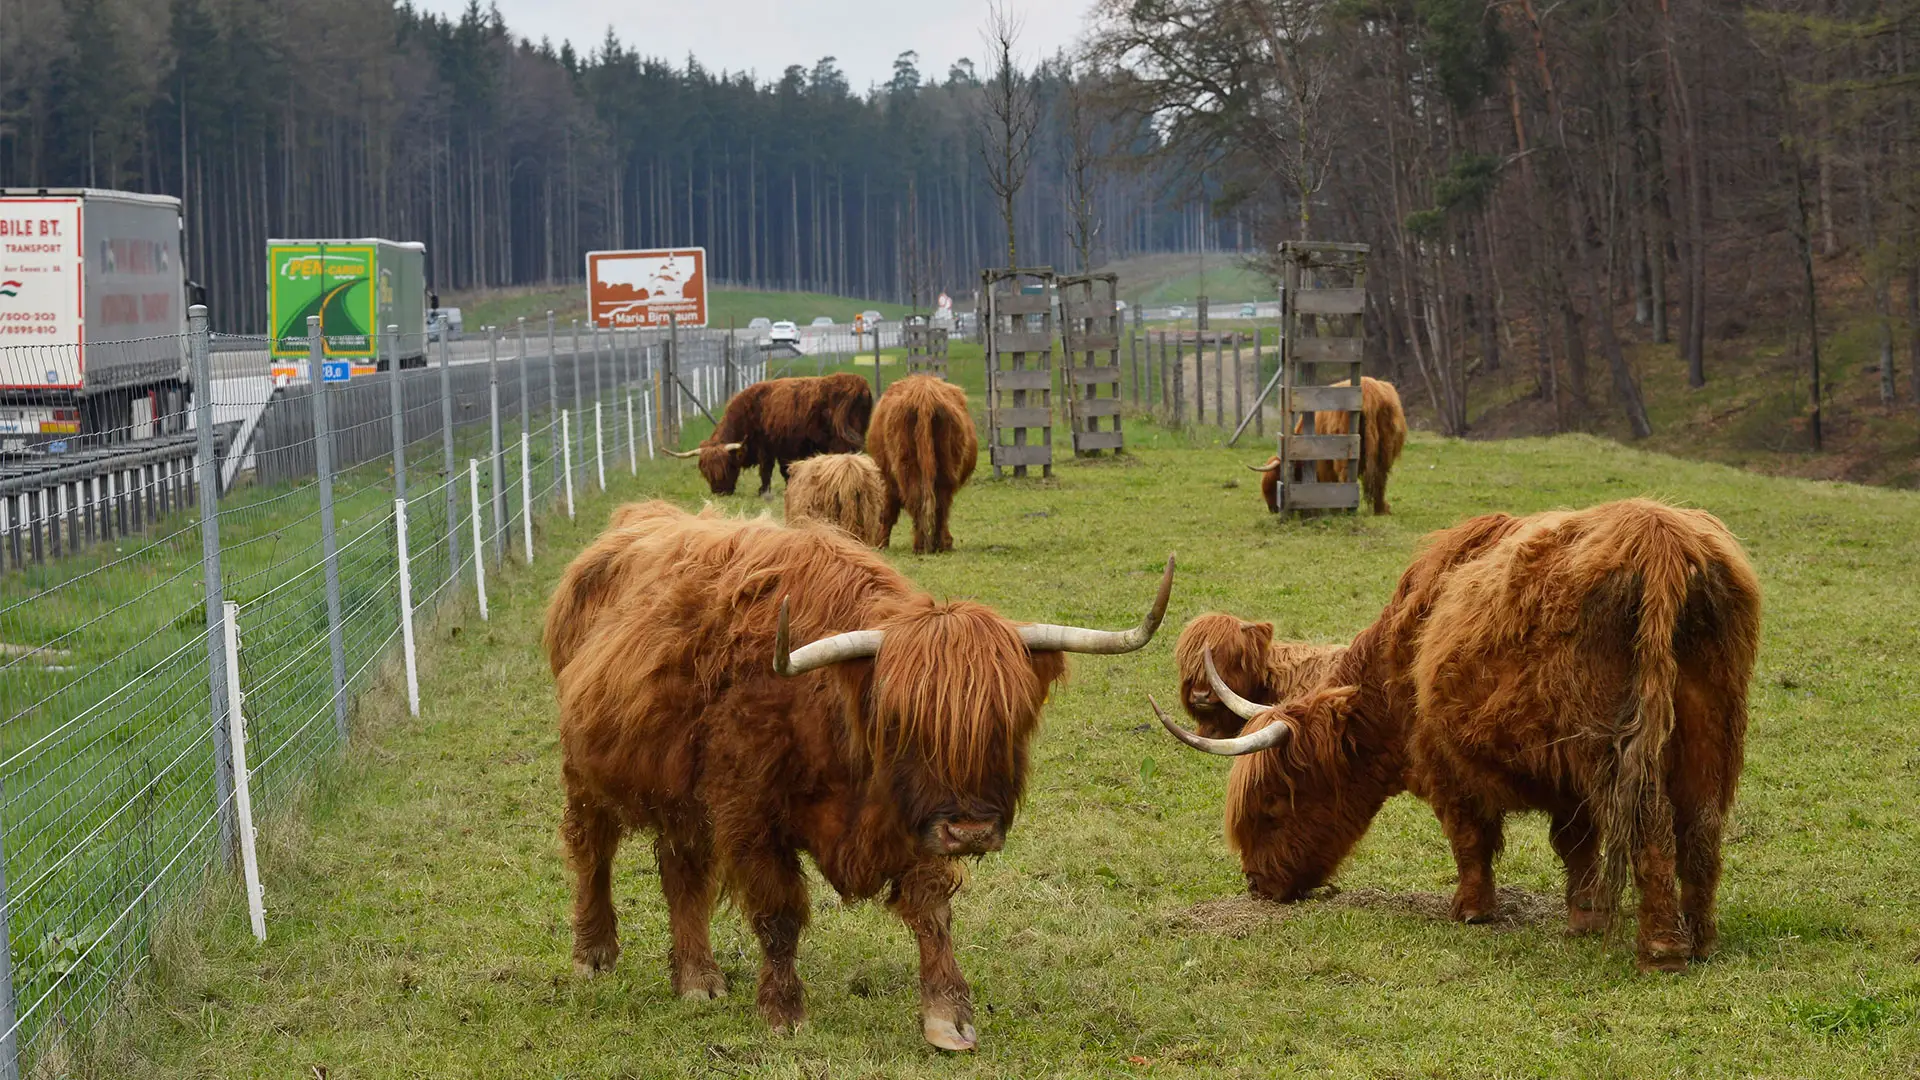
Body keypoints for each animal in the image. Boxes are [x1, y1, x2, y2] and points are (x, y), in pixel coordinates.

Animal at [546, 501, 1175, 1050]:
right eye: (901, 723)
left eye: (1007, 722)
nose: (971, 832)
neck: (829, 712)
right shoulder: (750, 813)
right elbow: (778, 915)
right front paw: (784, 1013)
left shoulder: (915, 817)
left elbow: (932, 911)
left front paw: (947, 1015)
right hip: (585, 773)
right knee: (592, 852)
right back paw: (594, 953)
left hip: (680, 793)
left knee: (682, 872)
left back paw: (699, 978)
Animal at [666, 372, 872, 497]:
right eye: (705, 470)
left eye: (727, 466)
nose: (720, 492)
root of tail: (855, 382)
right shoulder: (783, 449)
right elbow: (784, 470)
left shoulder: (767, 447)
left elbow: (767, 471)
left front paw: (763, 492)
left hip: (841, 442)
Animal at [865, 374, 977, 553]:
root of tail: (924, 394)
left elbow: (888, 511)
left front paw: (882, 543)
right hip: (944, 467)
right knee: (939, 503)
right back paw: (937, 544)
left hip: (907, 464)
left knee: (921, 500)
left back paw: (923, 545)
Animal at [1251, 376, 1408, 515]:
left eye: (1275, 482)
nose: (1272, 508)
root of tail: (1369, 390)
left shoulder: (1323, 463)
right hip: (1385, 451)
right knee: (1380, 478)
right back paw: (1381, 510)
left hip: (1345, 451)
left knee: (1346, 476)